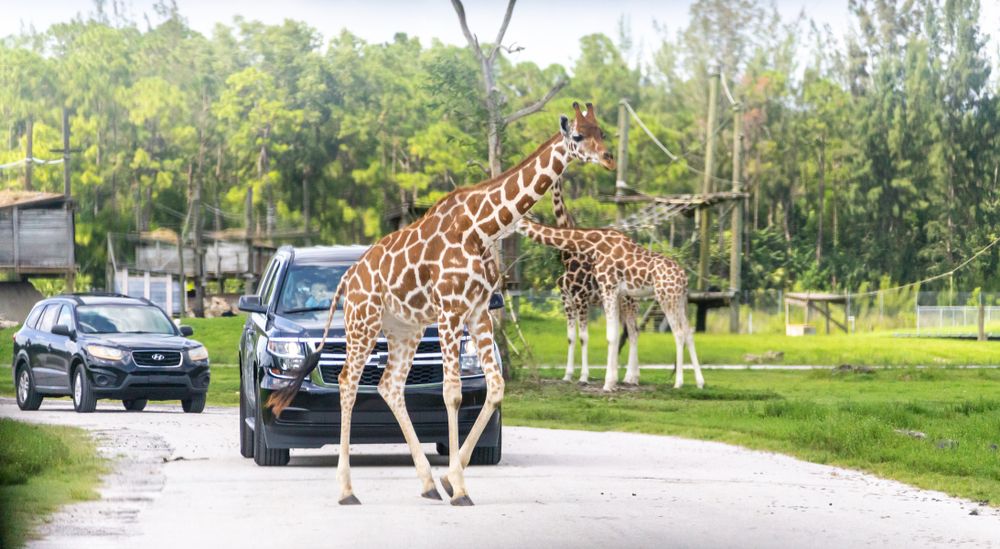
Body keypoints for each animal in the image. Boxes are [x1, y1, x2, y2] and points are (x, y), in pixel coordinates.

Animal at [267, 102, 615, 506]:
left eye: (603, 131)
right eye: (578, 135)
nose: (609, 158)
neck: (483, 227)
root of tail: (347, 279)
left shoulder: (478, 312)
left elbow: (496, 387)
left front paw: (449, 478)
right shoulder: (450, 308)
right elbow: (452, 393)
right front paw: (460, 488)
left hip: (404, 329)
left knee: (389, 385)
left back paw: (428, 484)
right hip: (363, 321)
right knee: (347, 382)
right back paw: (347, 490)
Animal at [517, 219, 705, 392]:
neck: (593, 245)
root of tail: (684, 278)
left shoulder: (607, 288)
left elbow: (610, 336)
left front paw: (607, 384)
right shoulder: (615, 293)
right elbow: (615, 335)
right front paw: (613, 382)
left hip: (666, 297)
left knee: (679, 333)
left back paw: (678, 383)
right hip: (678, 300)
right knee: (688, 331)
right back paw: (700, 382)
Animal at [548, 179, 641, 385]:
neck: (568, 257)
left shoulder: (581, 298)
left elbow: (584, 337)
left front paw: (583, 376)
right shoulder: (566, 299)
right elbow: (570, 337)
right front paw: (567, 375)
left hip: (629, 302)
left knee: (633, 332)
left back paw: (630, 377)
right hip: (618, 304)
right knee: (625, 332)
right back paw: (625, 375)